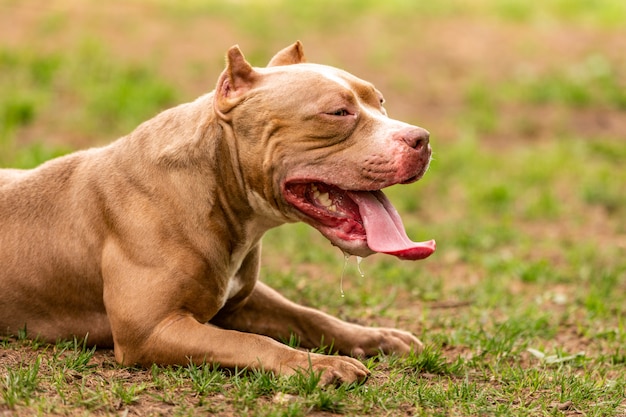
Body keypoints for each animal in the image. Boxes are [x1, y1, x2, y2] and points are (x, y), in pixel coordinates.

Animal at [0, 42, 434, 384]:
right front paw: (320, 364)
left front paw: (376, 337)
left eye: (380, 102)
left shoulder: (242, 298)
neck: (218, 189)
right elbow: (250, 341)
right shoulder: (150, 330)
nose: (422, 138)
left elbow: (309, 316)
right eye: (338, 113)